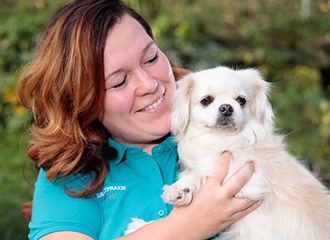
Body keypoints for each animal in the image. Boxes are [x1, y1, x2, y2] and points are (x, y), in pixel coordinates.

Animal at [125, 66, 330, 240]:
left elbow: (206, 171)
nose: (226, 108)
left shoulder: (250, 180)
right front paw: (180, 191)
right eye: (206, 100)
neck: (221, 141)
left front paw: (182, 187)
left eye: (241, 100)